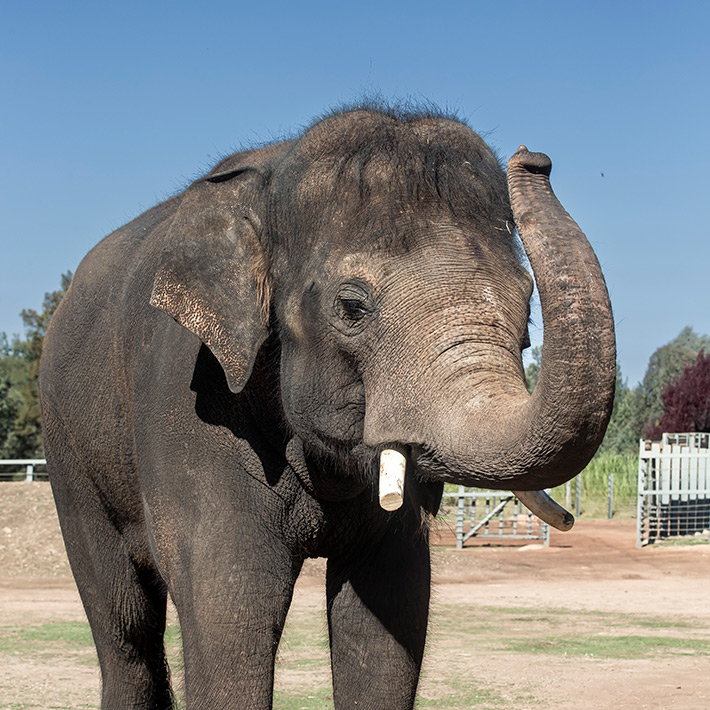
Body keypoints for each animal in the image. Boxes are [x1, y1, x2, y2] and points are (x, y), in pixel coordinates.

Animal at [40, 107, 616, 710]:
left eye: (527, 314)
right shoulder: (188, 397)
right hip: (69, 451)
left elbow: (388, 613)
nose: (534, 159)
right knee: (124, 626)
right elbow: (232, 603)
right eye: (352, 307)